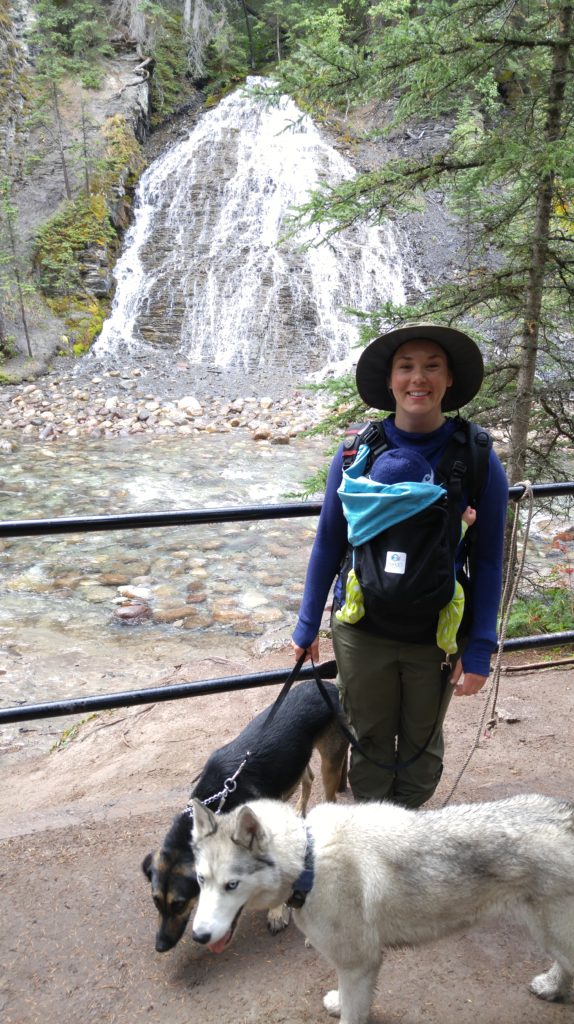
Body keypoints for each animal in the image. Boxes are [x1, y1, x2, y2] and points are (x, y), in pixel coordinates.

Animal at [141, 679, 347, 950]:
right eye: (155, 901)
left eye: (179, 903)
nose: (160, 946)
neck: (219, 800)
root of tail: (324, 684)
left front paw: (276, 912)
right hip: (296, 761)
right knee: (308, 778)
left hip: (330, 763)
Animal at [191, 790, 572, 1024]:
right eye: (200, 880)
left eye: (231, 885)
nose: (198, 936)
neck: (309, 862)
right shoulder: (354, 966)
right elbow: (347, 1000)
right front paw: (338, 1002)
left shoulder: (359, 963)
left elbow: (353, 1014)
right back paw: (551, 988)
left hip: (553, 933)